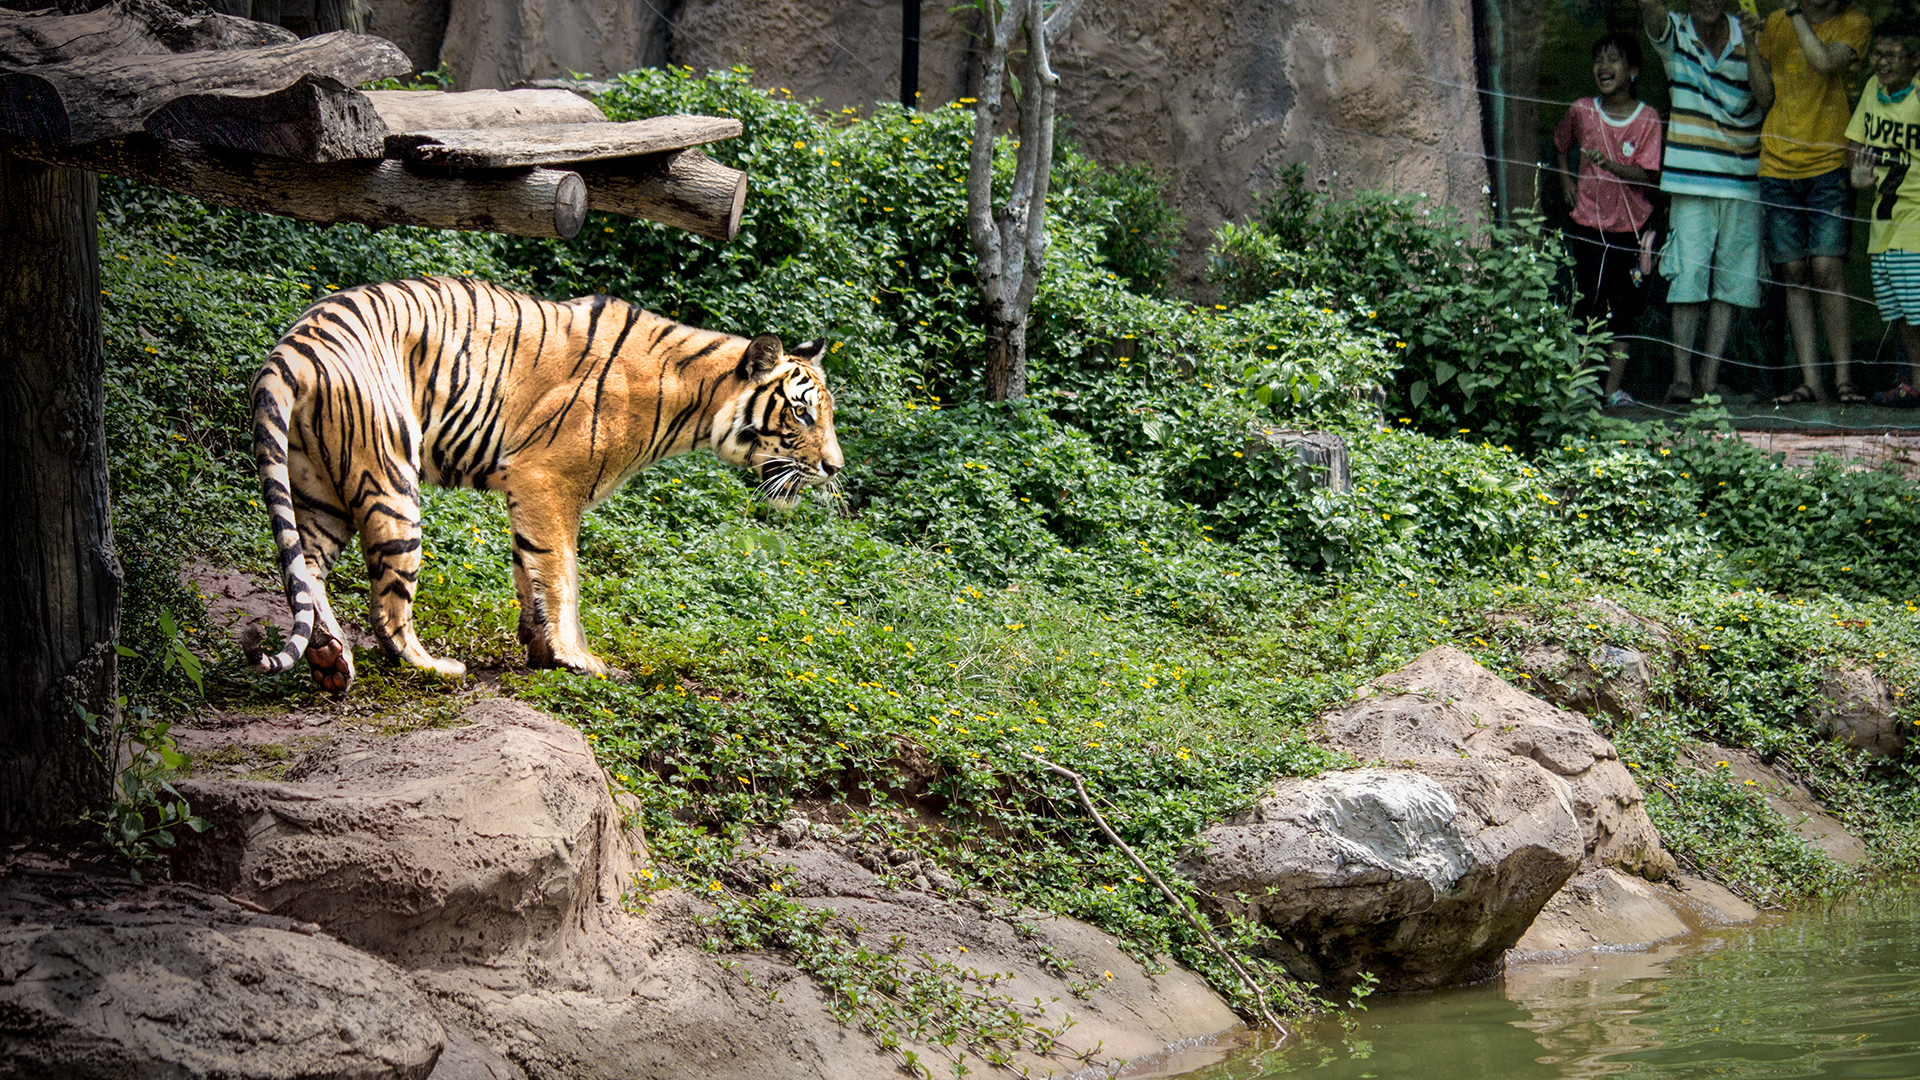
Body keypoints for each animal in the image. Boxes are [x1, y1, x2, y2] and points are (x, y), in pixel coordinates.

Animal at [243, 274, 844, 687]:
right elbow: (561, 575)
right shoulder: (547, 481)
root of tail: (293, 347)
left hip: (320, 487)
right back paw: (432, 666)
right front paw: (578, 657)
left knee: (306, 566)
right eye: (801, 413)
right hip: (390, 480)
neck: (691, 402)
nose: (835, 467)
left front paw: (541, 651)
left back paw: (330, 658)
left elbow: (528, 571)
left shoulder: (530, 493)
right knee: (387, 607)